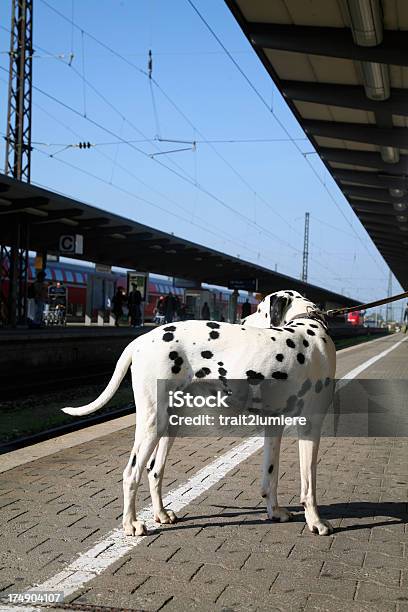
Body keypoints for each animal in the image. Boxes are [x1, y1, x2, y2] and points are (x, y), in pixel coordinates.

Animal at [63, 290, 334, 536]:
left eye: (259, 309)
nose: (243, 320)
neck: (307, 325)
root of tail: (139, 341)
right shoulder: (310, 427)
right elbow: (309, 484)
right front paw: (316, 522)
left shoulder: (274, 425)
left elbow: (271, 473)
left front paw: (274, 511)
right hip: (152, 423)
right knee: (131, 473)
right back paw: (131, 524)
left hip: (168, 425)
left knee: (154, 470)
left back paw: (161, 514)